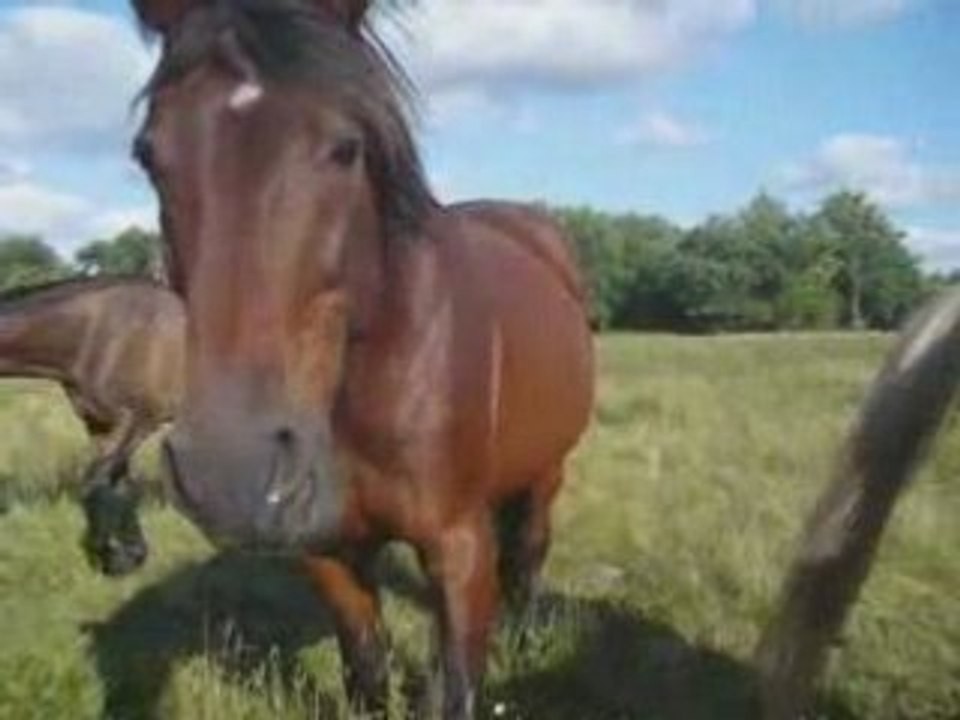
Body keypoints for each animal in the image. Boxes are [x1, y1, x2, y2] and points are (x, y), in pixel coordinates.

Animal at [0, 276, 184, 575]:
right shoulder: (99, 425)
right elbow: (118, 486)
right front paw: (132, 553)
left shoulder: (138, 421)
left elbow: (93, 485)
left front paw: (109, 556)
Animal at [130, 1, 594, 717]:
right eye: (148, 154)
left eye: (346, 148)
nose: (228, 474)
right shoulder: (328, 551)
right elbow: (367, 674)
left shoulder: (459, 549)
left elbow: (457, 685)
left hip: (547, 471)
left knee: (528, 553)